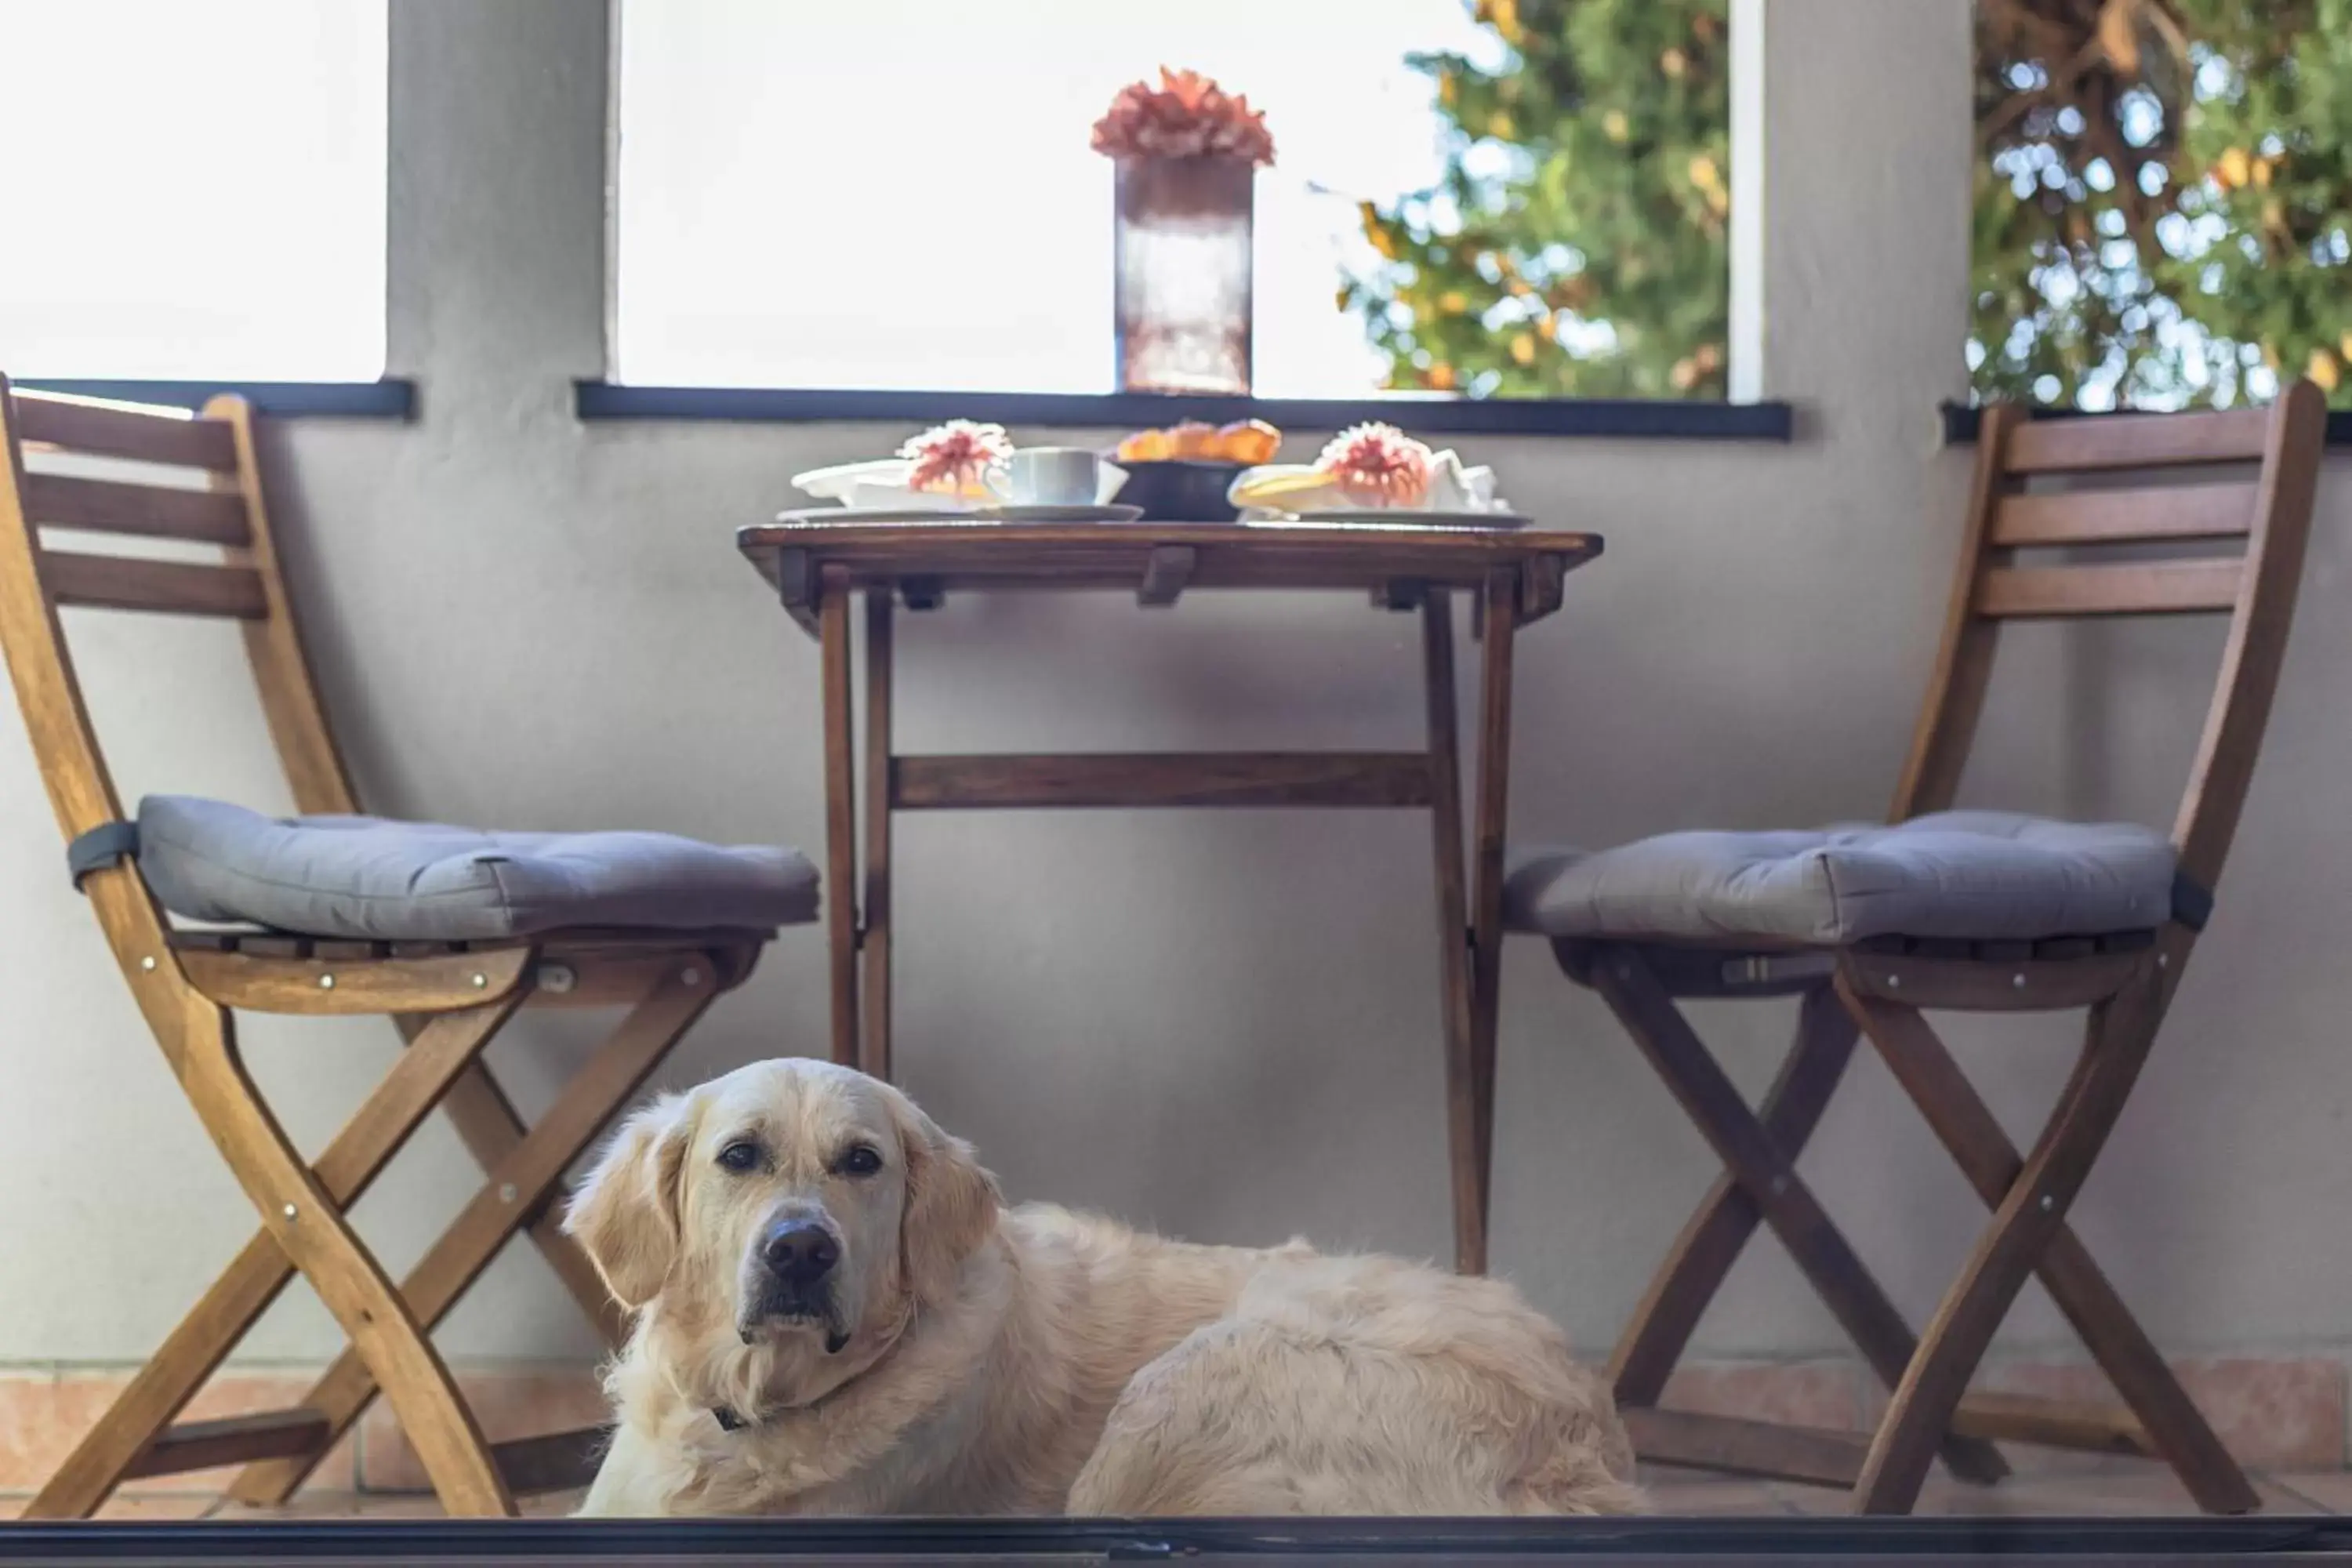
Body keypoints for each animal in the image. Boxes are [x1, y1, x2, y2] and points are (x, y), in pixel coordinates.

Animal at [562, 1062, 1646, 1514]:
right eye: (739, 1155)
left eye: (861, 1161)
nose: (799, 1251)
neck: (760, 1412)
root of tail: (1588, 1429)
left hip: (1178, 1394)